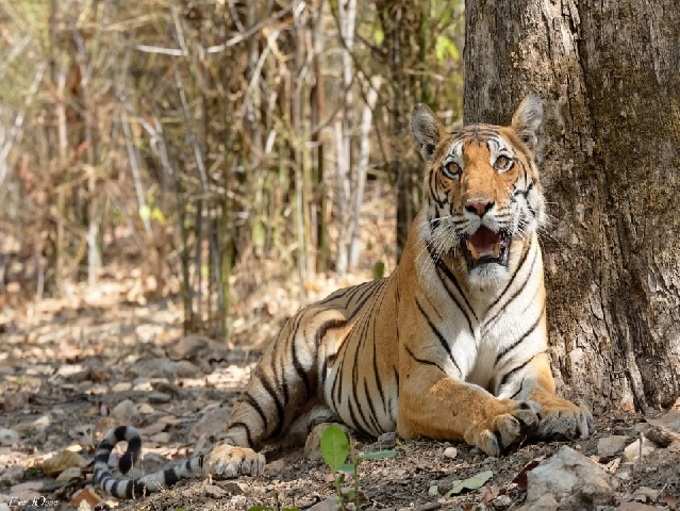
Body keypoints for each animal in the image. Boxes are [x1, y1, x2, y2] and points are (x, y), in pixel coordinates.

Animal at [93, 96, 592, 500]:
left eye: (502, 163)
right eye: (454, 169)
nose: (479, 206)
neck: (484, 285)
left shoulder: (526, 362)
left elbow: (543, 390)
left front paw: (564, 412)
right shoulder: (423, 378)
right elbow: (464, 396)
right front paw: (502, 417)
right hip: (277, 374)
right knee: (233, 429)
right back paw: (234, 457)